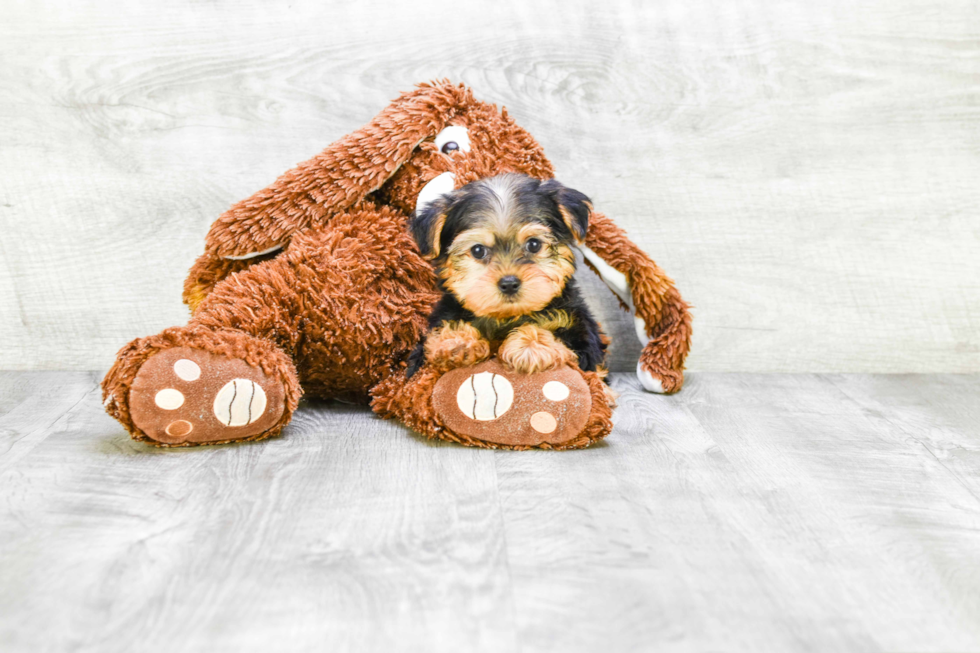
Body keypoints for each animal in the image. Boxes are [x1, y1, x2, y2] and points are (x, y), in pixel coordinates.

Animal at [406, 173, 604, 380]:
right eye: (478, 250)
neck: (506, 317)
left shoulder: (582, 335)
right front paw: (456, 340)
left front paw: (529, 346)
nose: (509, 283)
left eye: (534, 244)